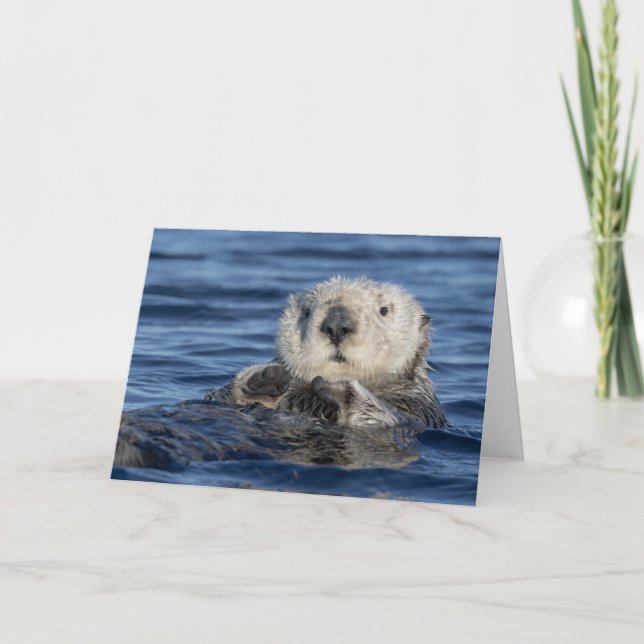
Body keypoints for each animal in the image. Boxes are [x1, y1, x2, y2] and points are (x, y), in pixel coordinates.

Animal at [206, 276, 446, 429]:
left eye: (384, 310)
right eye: (307, 311)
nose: (336, 325)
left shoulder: (419, 410)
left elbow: (388, 419)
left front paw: (341, 389)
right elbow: (218, 397)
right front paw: (267, 377)